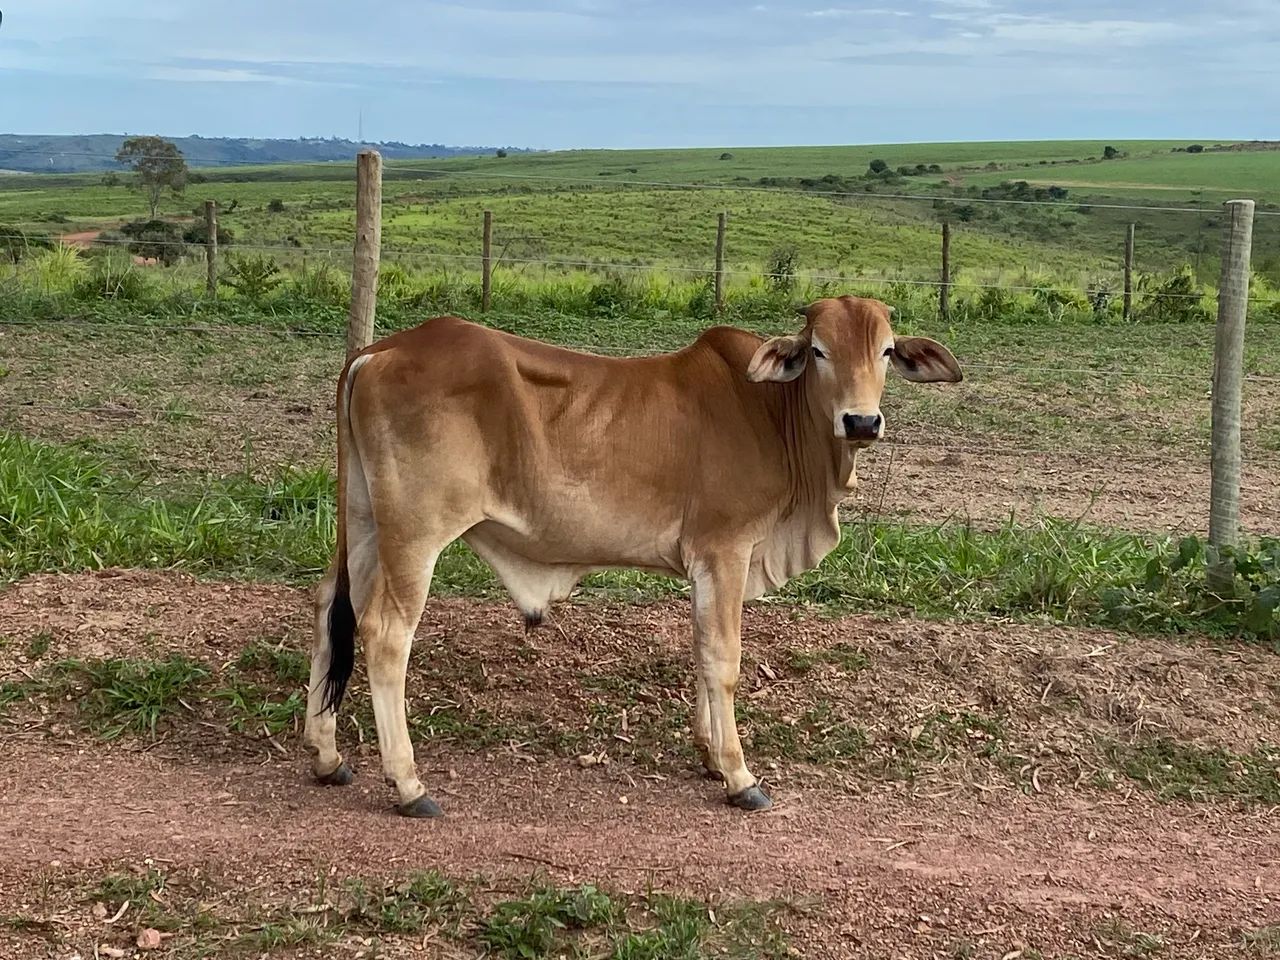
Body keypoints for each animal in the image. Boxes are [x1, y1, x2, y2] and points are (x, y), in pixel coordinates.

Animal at [302, 295, 962, 817]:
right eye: (820, 350)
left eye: (886, 351)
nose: (862, 421)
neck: (770, 412)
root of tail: (379, 352)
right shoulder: (726, 550)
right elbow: (723, 658)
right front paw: (739, 775)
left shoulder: (706, 564)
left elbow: (700, 652)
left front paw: (710, 755)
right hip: (415, 535)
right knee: (386, 634)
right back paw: (409, 785)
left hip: (364, 525)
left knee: (331, 608)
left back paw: (327, 756)